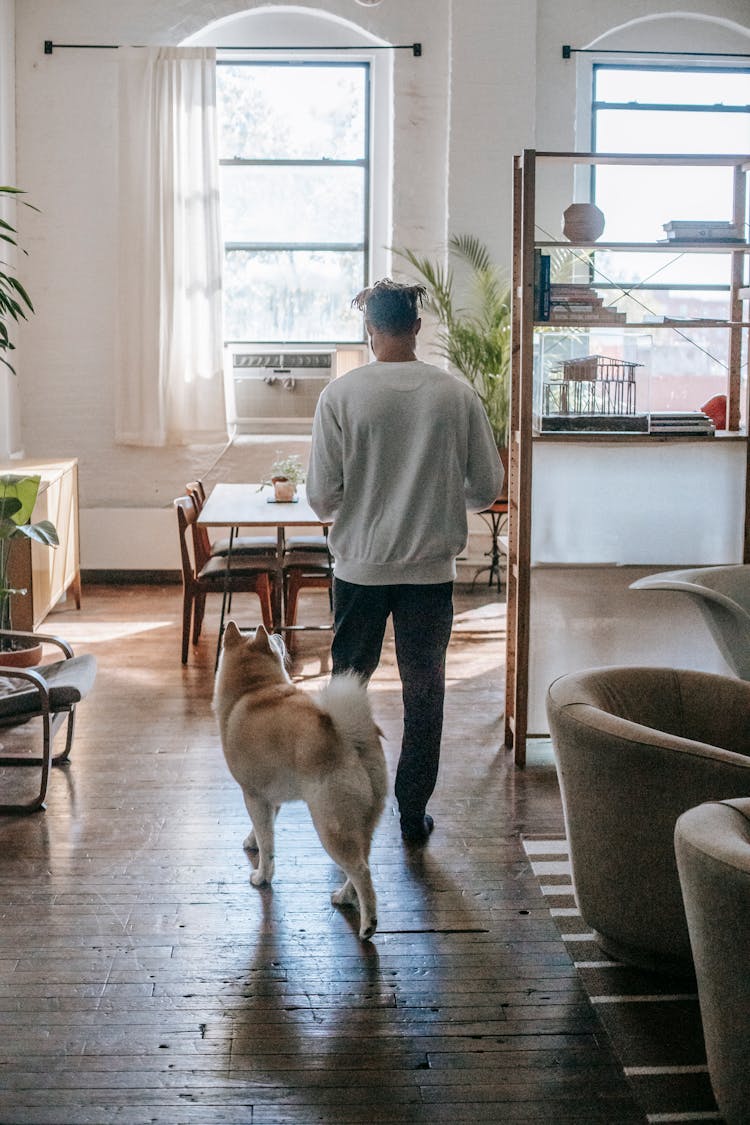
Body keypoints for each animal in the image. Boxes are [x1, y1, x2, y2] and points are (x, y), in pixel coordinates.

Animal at [211, 625, 386, 940]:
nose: (278, 633)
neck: (252, 689)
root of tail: (352, 739)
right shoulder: (272, 798)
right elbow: (262, 830)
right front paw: (251, 841)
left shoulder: (253, 795)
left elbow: (268, 844)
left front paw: (262, 877)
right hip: (363, 822)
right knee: (362, 863)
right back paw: (344, 897)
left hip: (331, 826)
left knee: (361, 871)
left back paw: (368, 924)